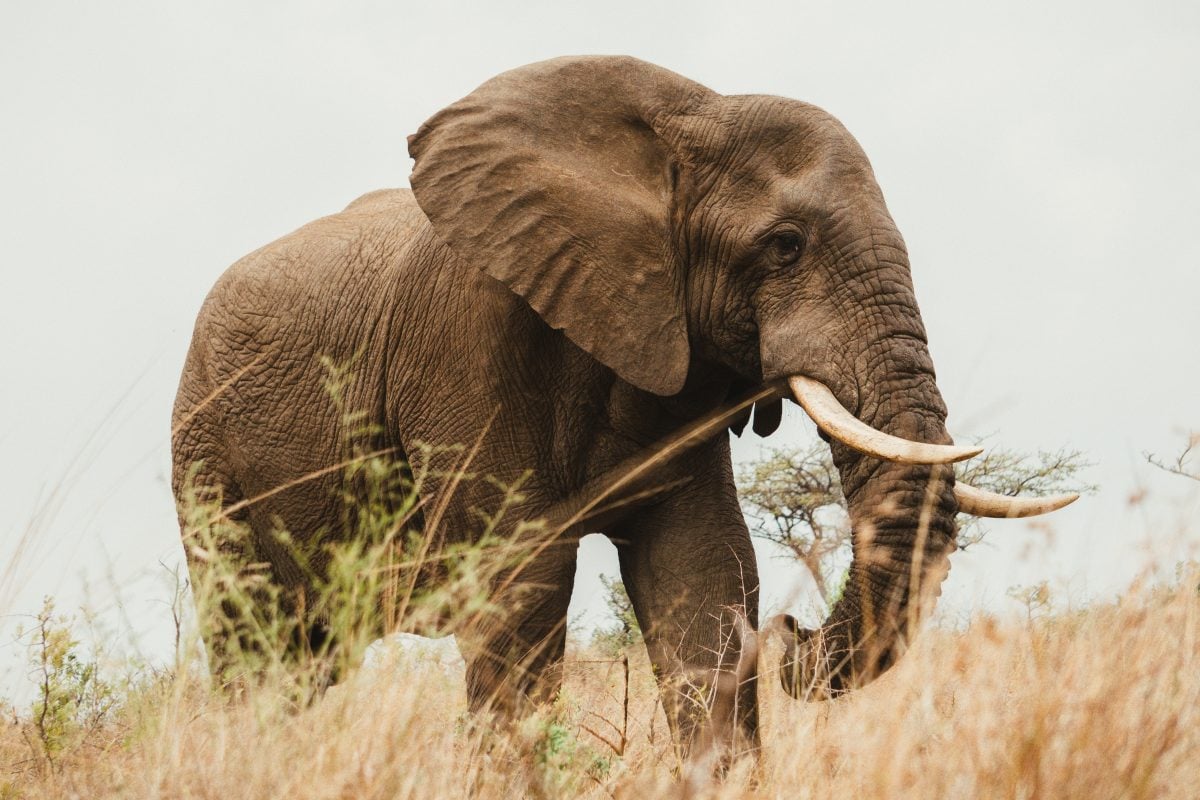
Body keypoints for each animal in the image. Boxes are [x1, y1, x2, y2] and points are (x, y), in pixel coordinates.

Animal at [171, 54, 1080, 762]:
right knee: (255, 637)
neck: (690, 117)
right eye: (785, 247)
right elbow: (524, 579)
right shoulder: (465, 339)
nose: (795, 632)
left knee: (308, 661)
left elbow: (705, 572)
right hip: (204, 452)